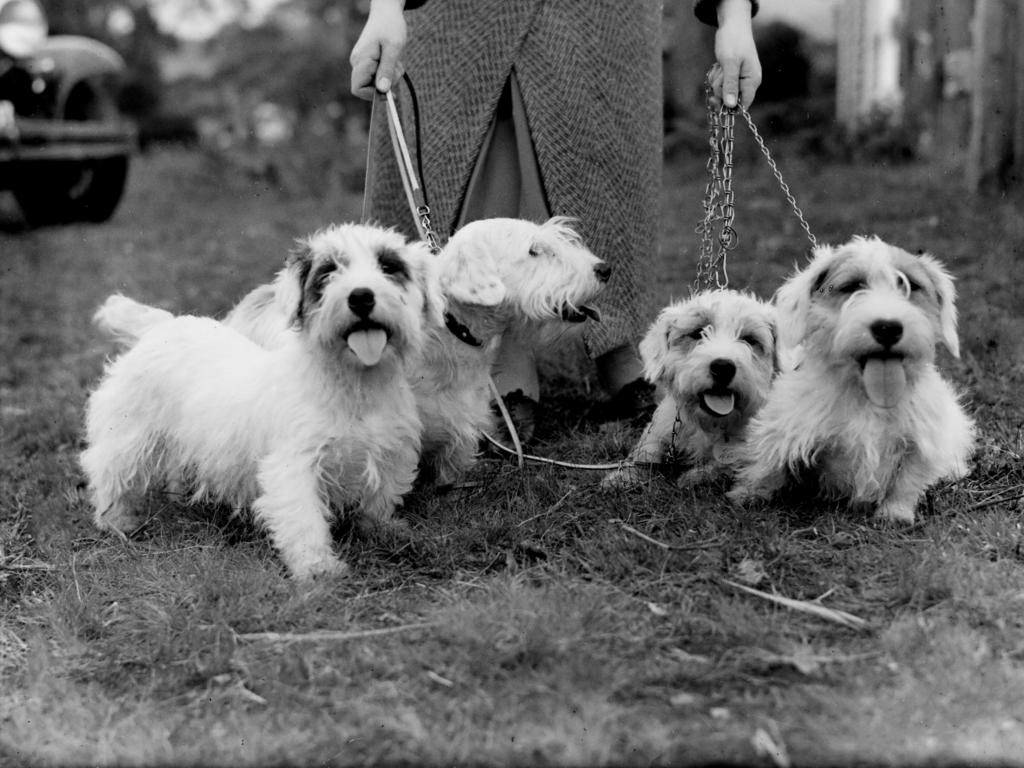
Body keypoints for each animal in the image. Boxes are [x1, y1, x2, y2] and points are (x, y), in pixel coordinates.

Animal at [81, 225, 442, 581]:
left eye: (390, 267)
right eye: (327, 273)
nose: (361, 296)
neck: (356, 385)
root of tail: (162, 326)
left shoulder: (391, 451)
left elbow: (380, 498)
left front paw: (385, 530)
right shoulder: (294, 466)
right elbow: (304, 519)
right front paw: (317, 567)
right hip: (130, 435)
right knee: (108, 470)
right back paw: (117, 521)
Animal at [602, 288, 778, 487]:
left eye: (749, 339)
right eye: (697, 333)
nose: (723, 367)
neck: (709, 425)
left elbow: (725, 465)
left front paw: (695, 476)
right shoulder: (661, 428)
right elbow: (648, 452)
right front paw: (623, 476)